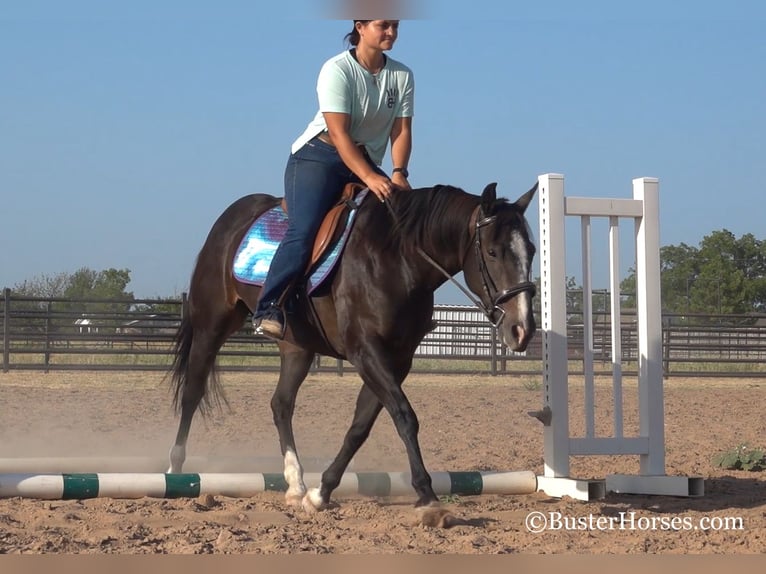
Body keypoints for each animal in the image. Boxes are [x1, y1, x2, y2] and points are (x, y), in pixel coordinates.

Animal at [168, 182, 540, 528]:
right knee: (193, 392)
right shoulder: (366, 351)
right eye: (492, 251)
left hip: (297, 347)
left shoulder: (397, 359)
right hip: (211, 326)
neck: (398, 259)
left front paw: (320, 493)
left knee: (281, 404)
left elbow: (361, 425)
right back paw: (174, 471)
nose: (522, 330)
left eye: (532, 250)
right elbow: (405, 416)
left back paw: (296, 484)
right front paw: (429, 499)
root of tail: (233, 217)